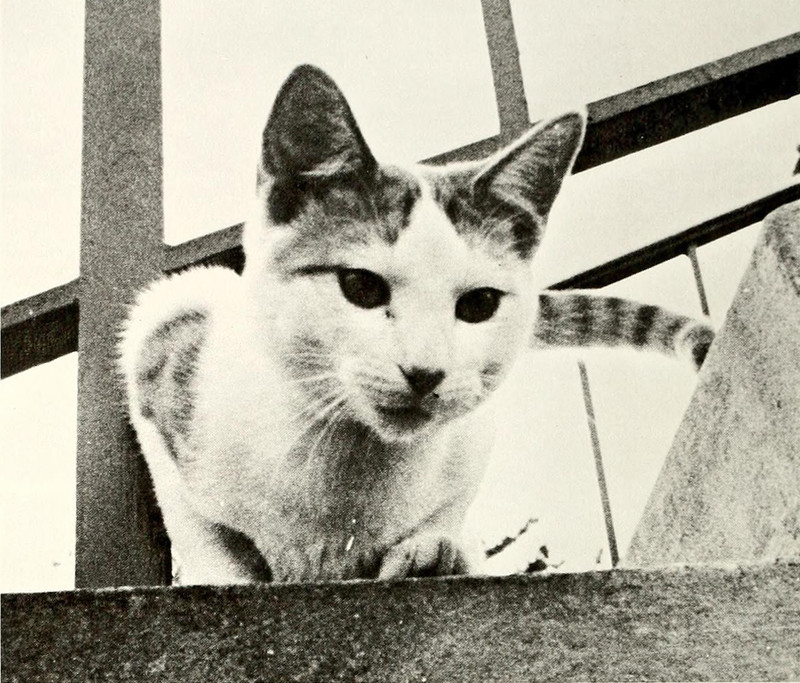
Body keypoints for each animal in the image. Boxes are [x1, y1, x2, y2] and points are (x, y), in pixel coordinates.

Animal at [119, 65, 714, 585]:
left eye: (479, 303)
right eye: (360, 286)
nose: (425, 373)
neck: (349, 463)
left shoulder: (472, 440)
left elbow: (446, 509)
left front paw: (432, 551)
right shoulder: (163, 336)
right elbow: (205, 534)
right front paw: (232, 573)